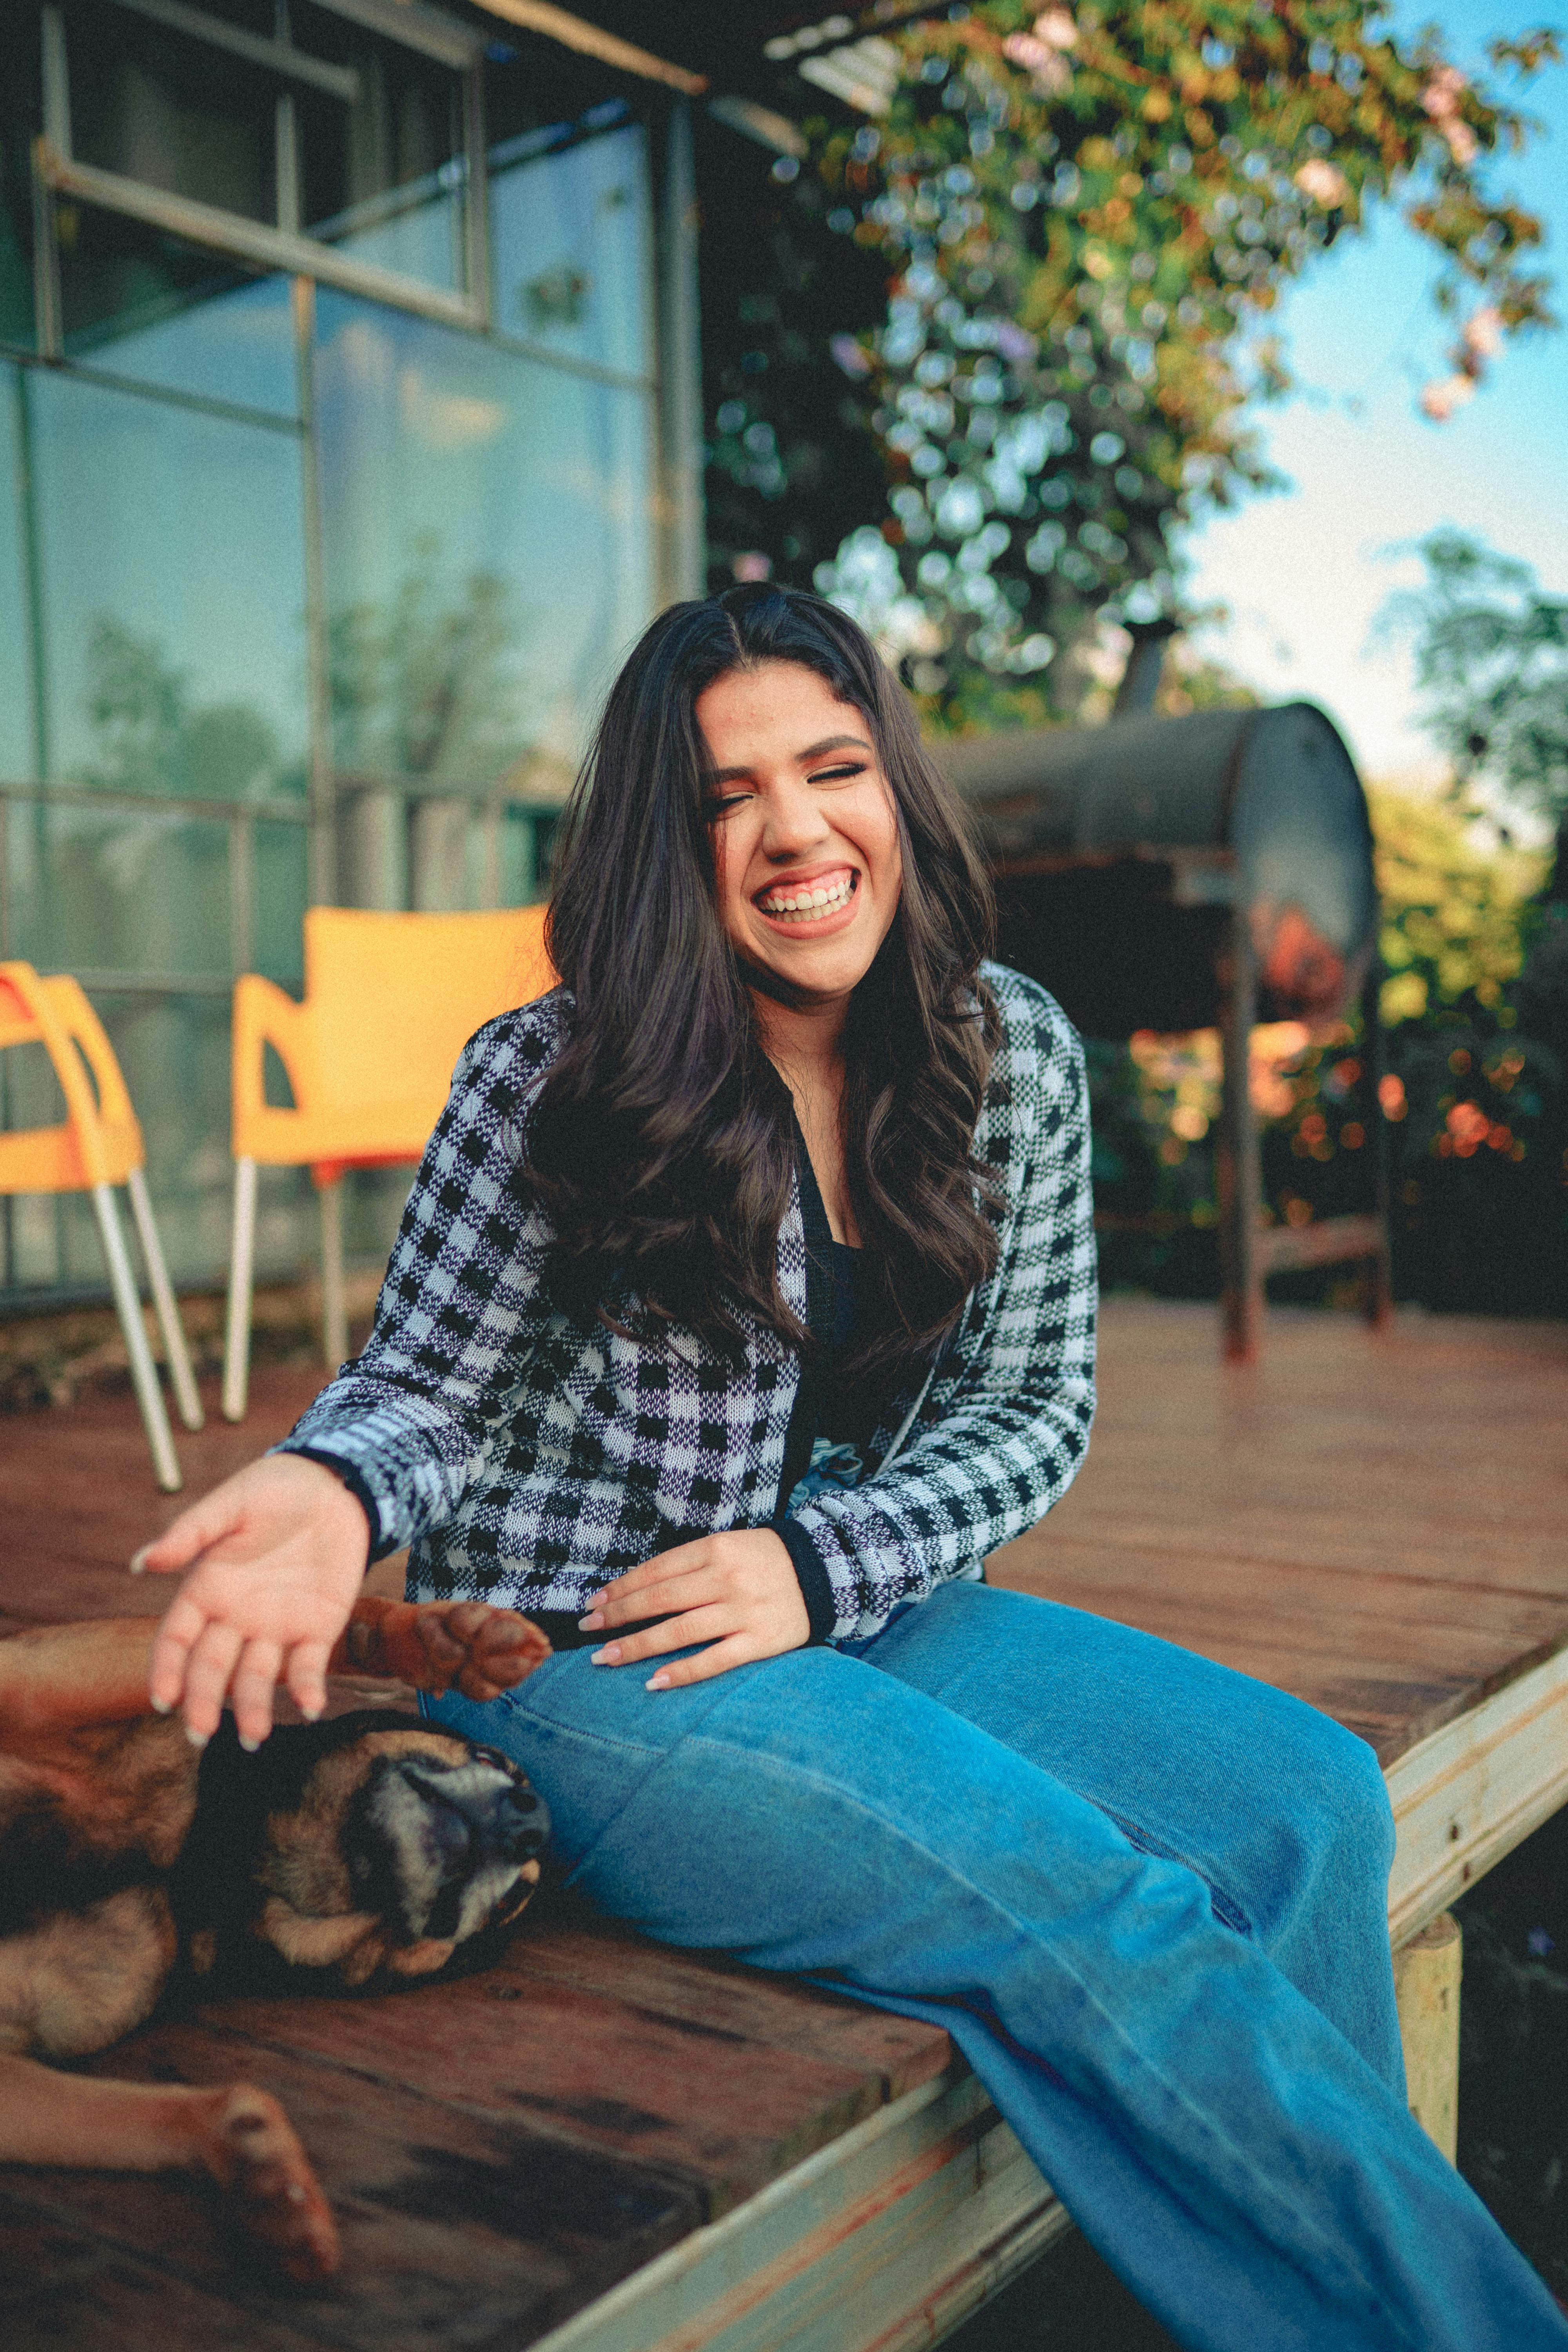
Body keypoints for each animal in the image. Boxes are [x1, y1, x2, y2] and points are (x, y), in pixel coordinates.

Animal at [0, 1599, 552, 2277]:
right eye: (495, 1761)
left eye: (511, 1903)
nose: (532, 1822)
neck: (217, 1863)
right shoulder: (32, 1688)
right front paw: (433, 1637)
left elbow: (212, 2108)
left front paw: (260, 2170)